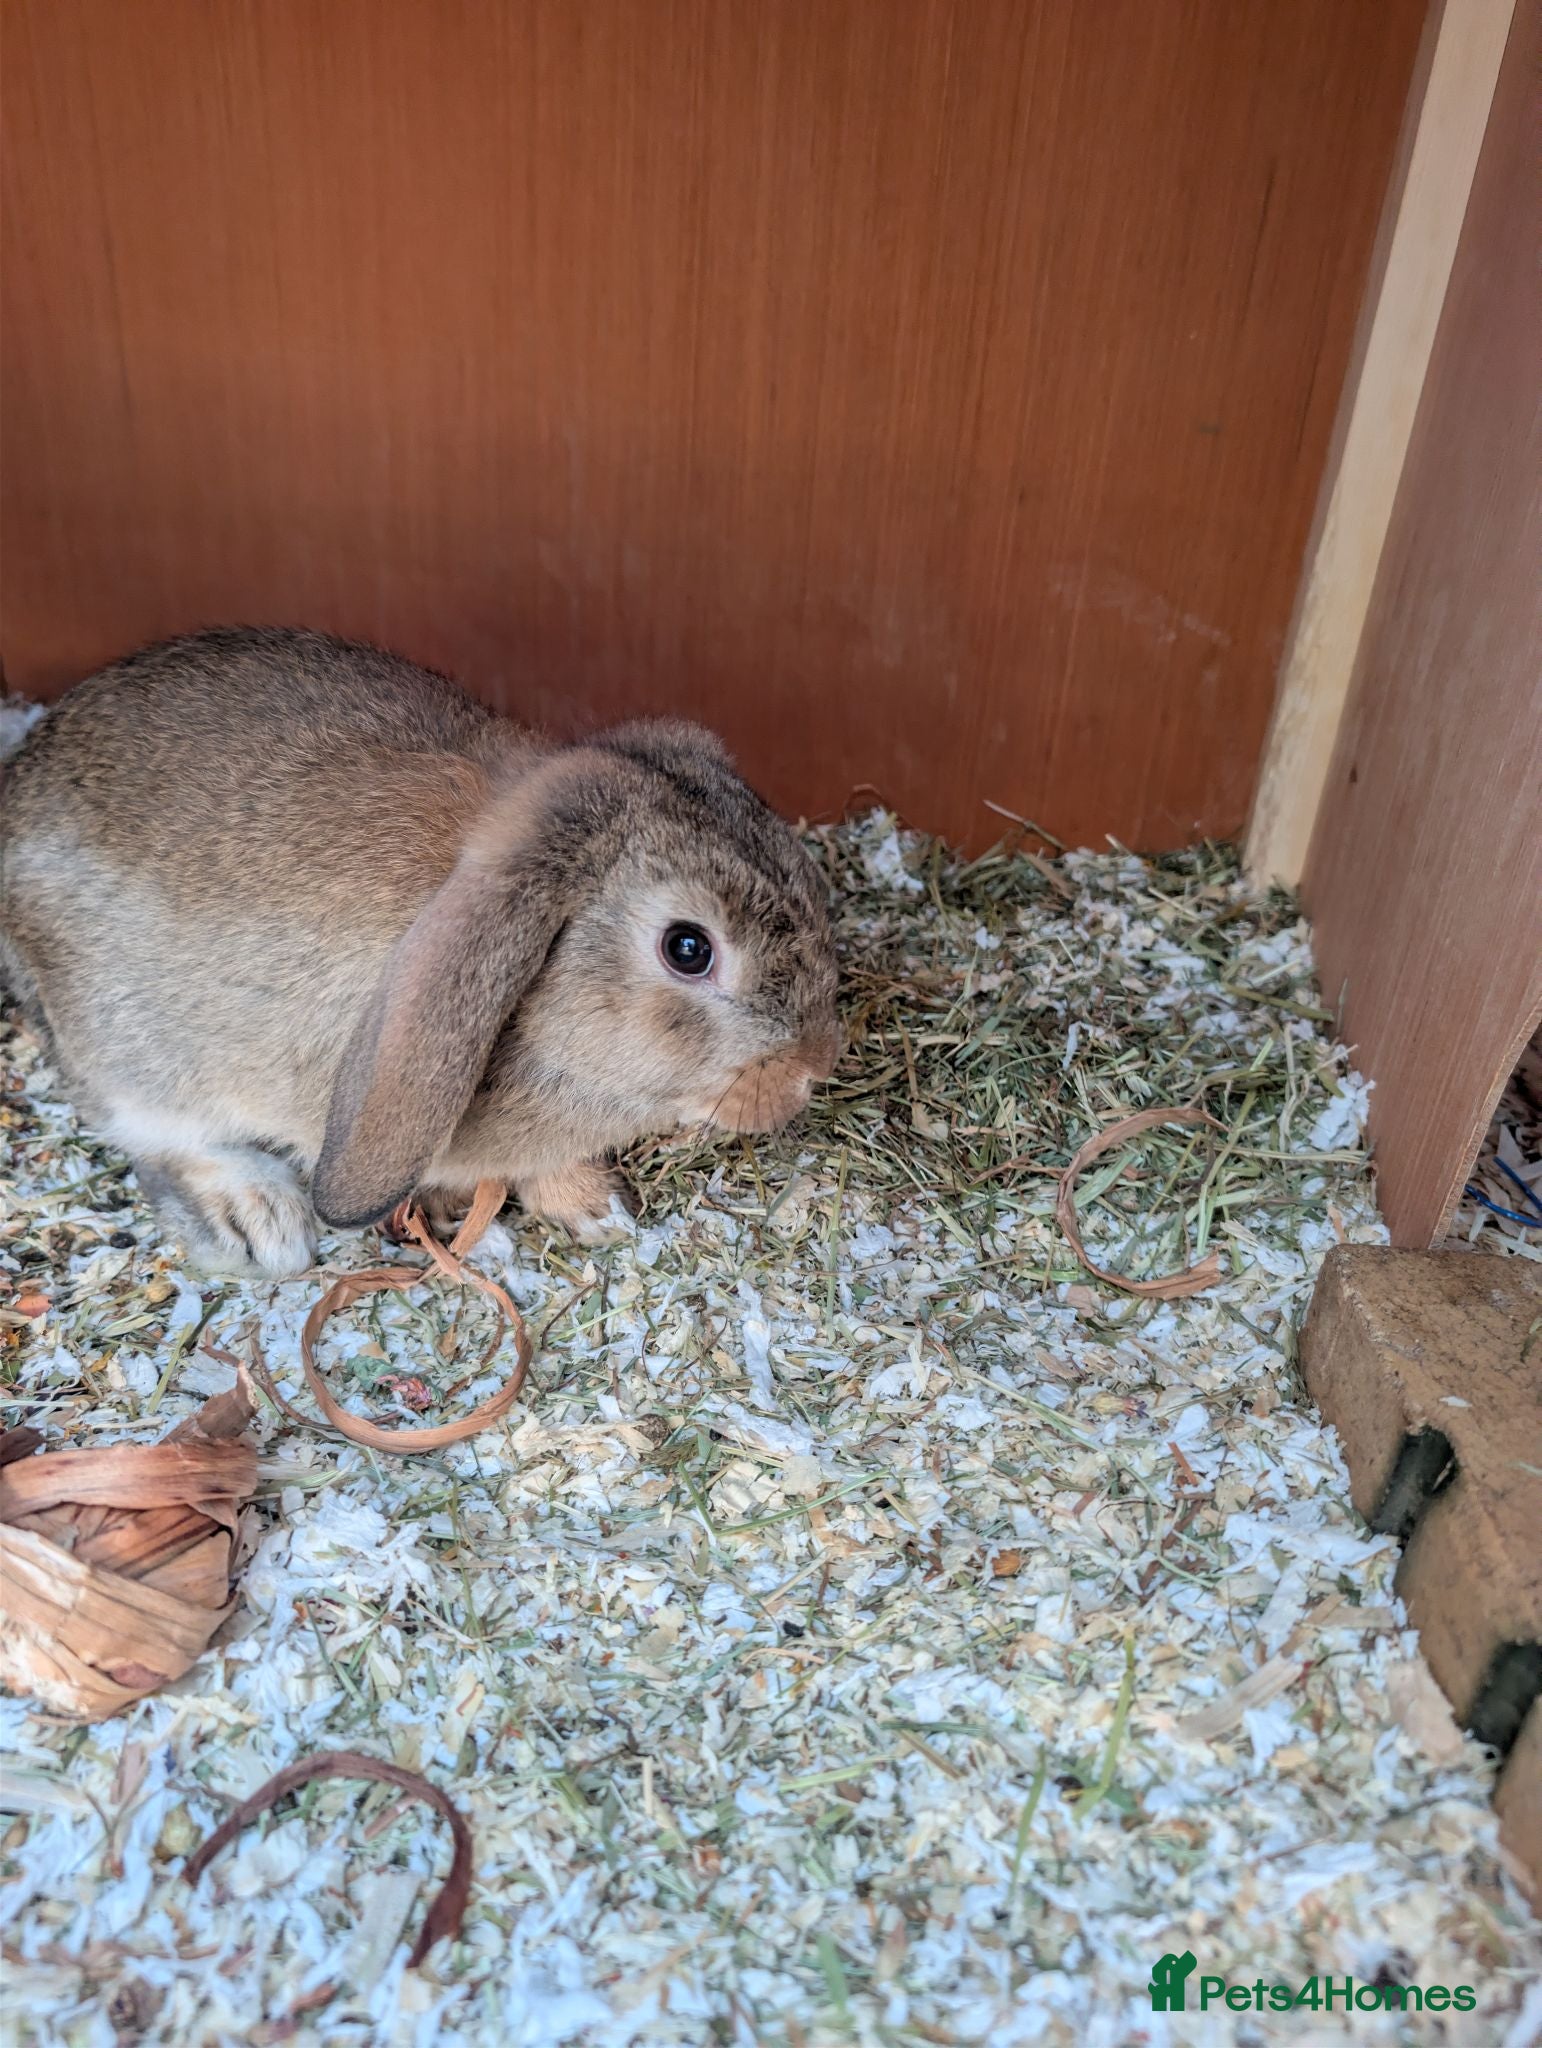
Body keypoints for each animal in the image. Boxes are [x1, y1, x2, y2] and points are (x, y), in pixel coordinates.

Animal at [0, 627, 839, 1277]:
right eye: (688, 948)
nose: (811, 1071)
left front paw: (599, 1213)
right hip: (134, 1056)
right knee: (148, 1135)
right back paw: (258, 1219)